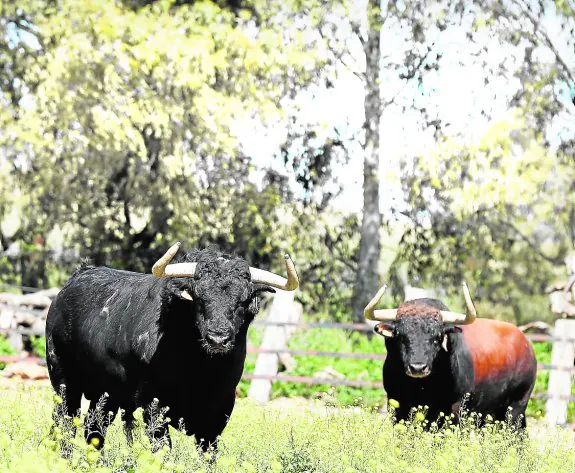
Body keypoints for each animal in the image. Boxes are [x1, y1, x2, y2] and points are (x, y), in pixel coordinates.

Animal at [366, 284, 536, 428]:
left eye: (437, 337)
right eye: (401, 336)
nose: (418, 368)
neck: (421, 385)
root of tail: (525, 342)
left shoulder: (455, 408)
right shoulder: (396, 403)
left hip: (516, 406)